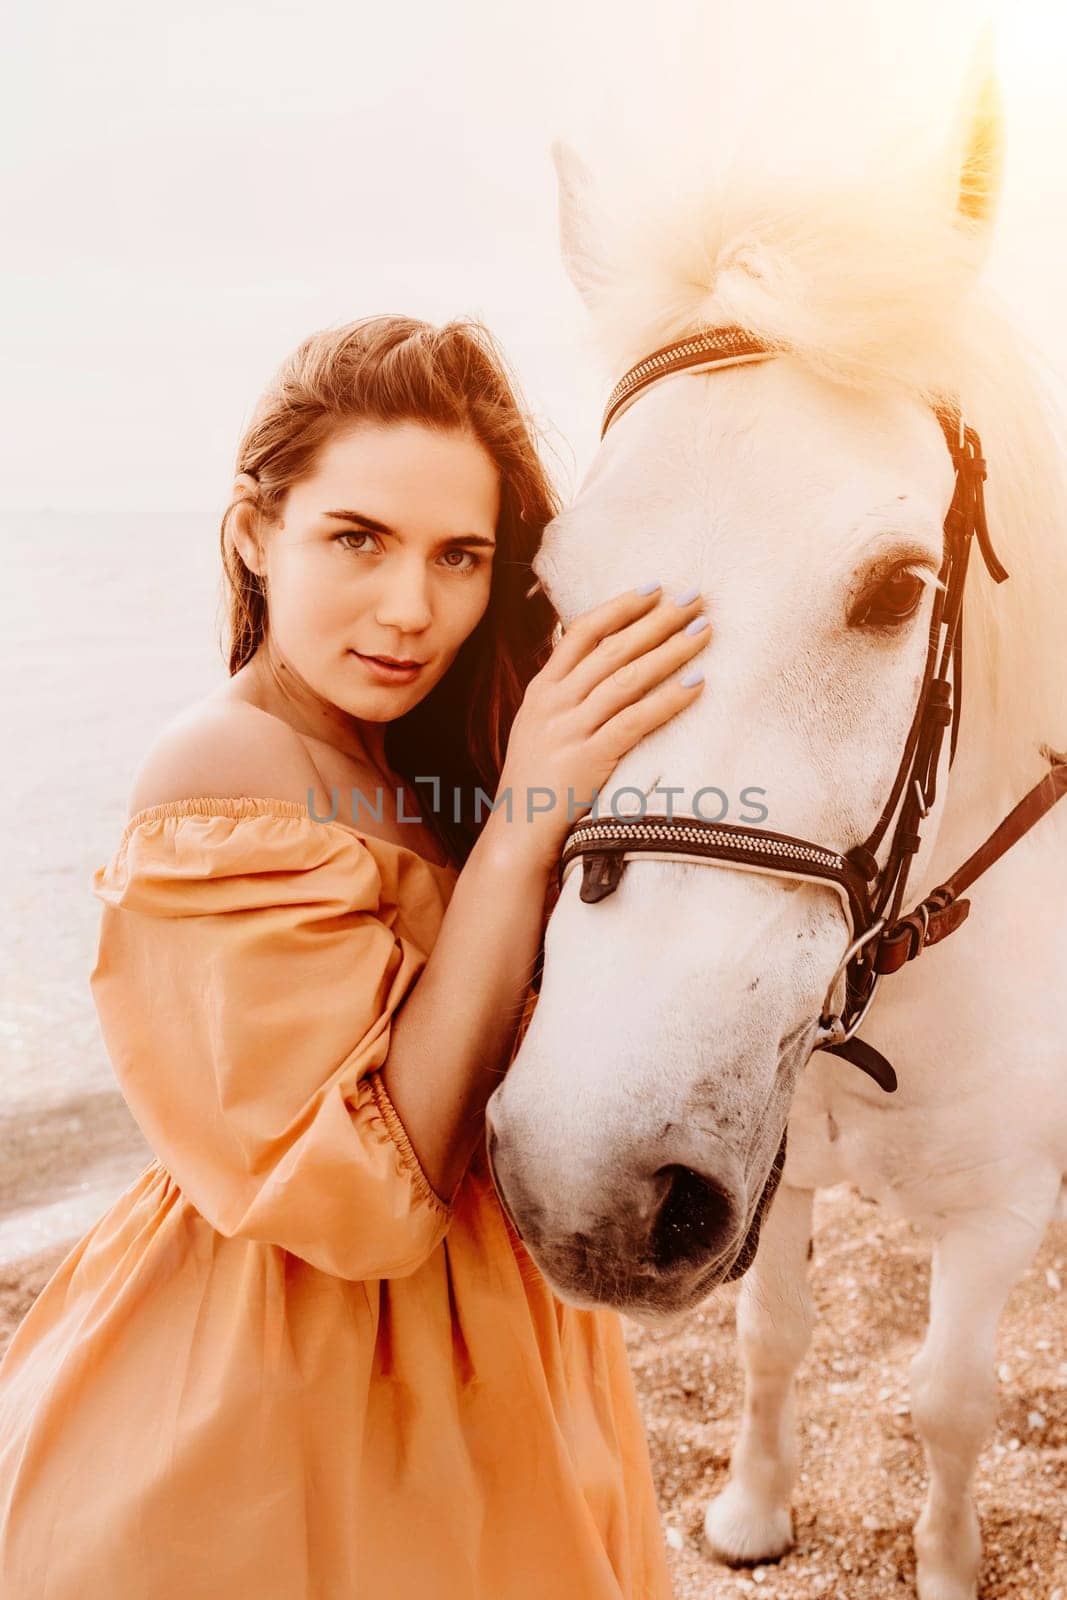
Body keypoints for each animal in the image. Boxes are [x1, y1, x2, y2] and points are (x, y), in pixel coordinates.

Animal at [483, 28, 1067, 1600]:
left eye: (894, 588)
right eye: (551, 594)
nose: (582, 1181)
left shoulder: (998, 1212)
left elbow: (946, 1400)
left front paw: (942, 1562)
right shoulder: (769, 1165)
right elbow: (771, 1335)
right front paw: (750, 1511)